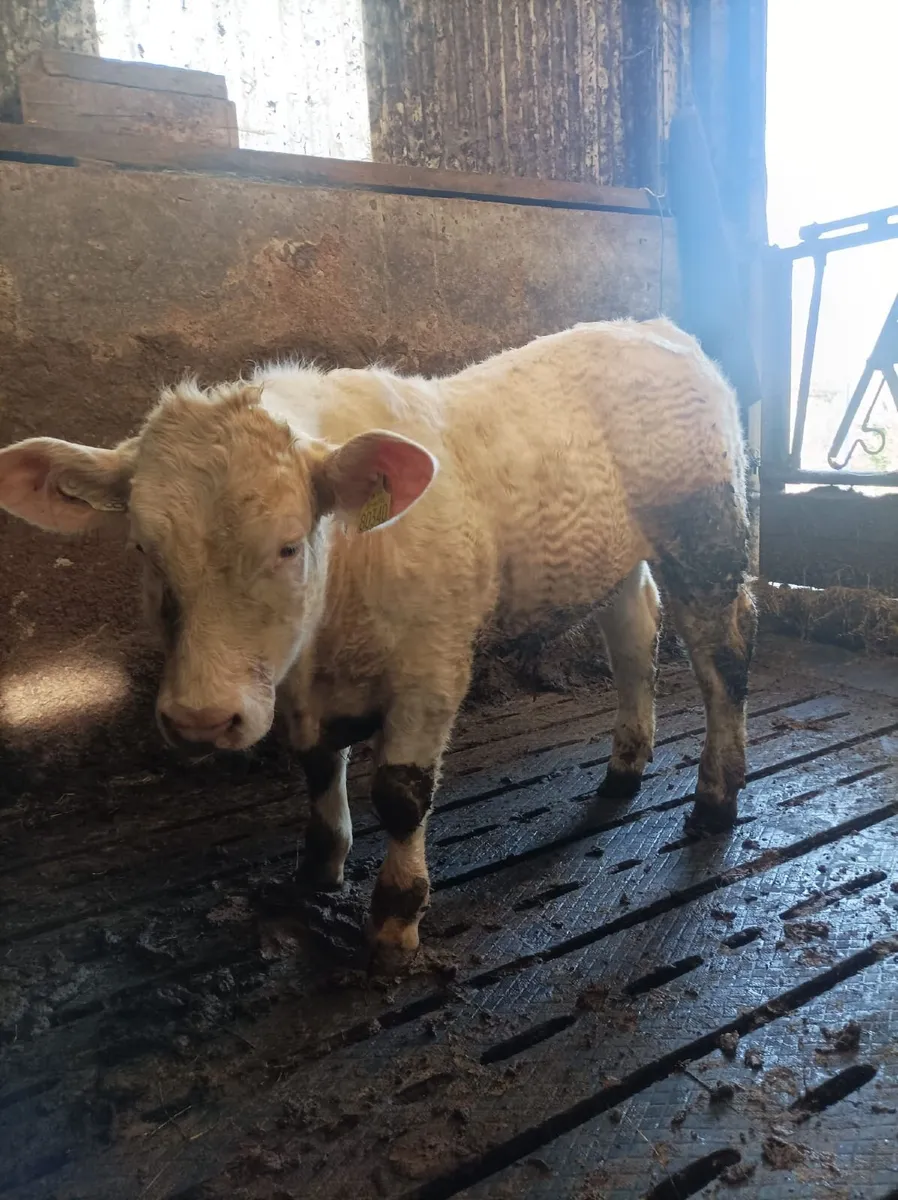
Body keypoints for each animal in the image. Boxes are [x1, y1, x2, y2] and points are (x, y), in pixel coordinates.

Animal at [0, 318, 756, 968]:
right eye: (143, 549)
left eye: (288, 546)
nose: (201, 720)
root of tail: (651, 325)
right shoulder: (299, 689)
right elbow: (314, 767)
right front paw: (318, 865)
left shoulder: (433, 665)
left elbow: (400, 793)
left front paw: (395, 919)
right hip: (619, 558)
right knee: (634, 642)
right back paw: (625, 767)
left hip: (708, 534)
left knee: (722, 661)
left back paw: (716, 798)